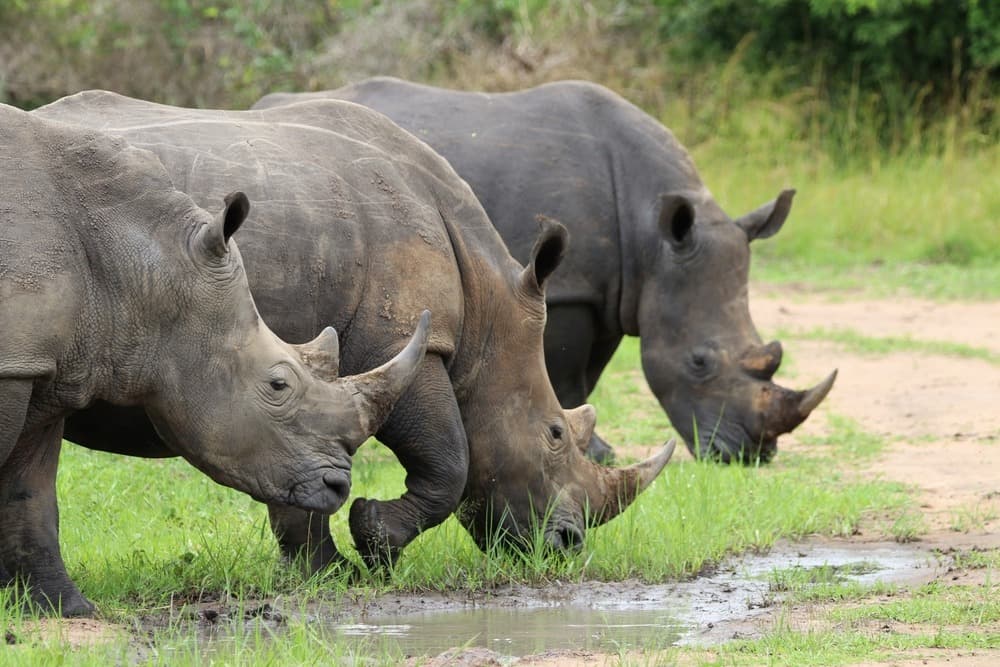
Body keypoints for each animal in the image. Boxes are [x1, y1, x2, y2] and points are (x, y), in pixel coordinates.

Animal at [0, 105, 430, 616]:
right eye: (278, 385)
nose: (338, 488)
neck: (137, 264)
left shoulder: (43, 361)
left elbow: (30, 491)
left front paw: (65, 608)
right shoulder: (14, 362)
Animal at [36, 92, 674, 574]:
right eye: (554, 436)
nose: (567, 546)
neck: (488, 314)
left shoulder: (315, 387)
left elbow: (308, 483)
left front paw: (322, 573)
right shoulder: (404, 340)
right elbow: (451, 459)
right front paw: (372, 541)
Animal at [255, 78, 837, 464]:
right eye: (699, 362)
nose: (751, 454)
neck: (653, 240)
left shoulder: (610, 290)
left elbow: (588, 375)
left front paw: (596, 448)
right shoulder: (568, 289)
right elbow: (567, 372)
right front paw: (597, 452)